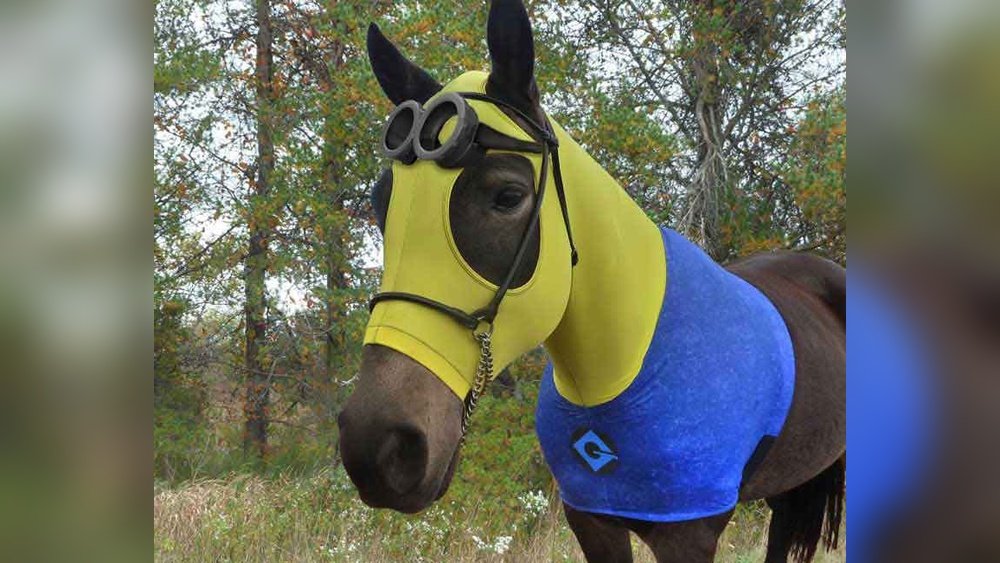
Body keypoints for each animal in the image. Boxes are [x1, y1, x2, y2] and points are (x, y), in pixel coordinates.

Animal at [337, 1, 845, 561]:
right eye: (382, 203)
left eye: (507, 196)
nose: (378, 445)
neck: (625, 365)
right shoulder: (591, 520)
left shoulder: (689, 532)